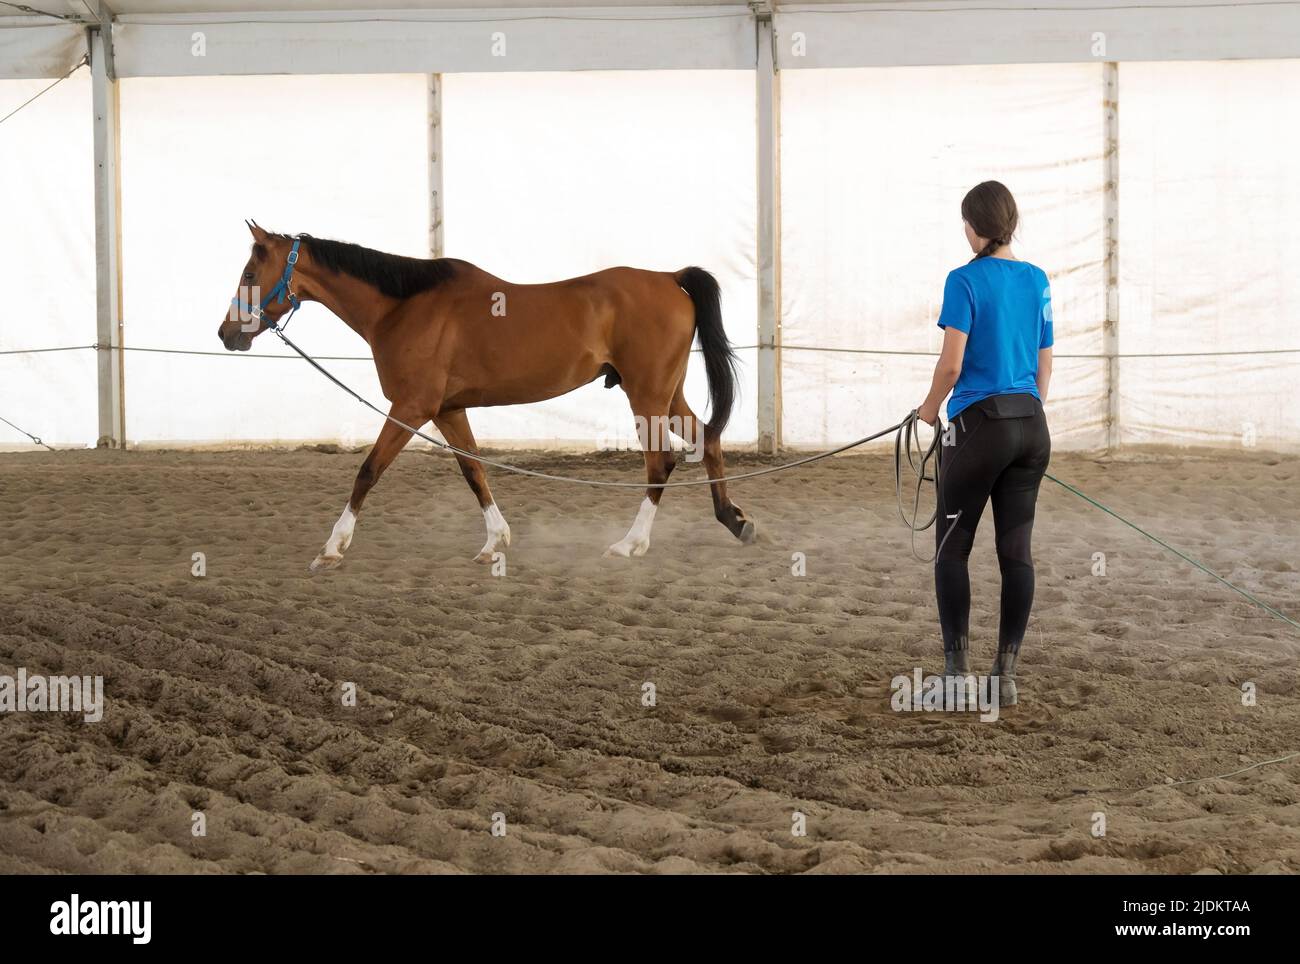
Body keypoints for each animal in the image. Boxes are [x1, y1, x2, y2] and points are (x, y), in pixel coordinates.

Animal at [218, 222, 759, 569]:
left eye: (249, 275)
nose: (226, 334)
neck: (403, 306)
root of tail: (670, 278)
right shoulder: (448, 410)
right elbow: (473, 471)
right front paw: (496, 542)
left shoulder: (410, 408)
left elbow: (368, 471)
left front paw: (332, 547)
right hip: (666, 394)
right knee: (708, 440)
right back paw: (735, 521)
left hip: (646, 395)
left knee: (660, 463)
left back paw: (630, 545)